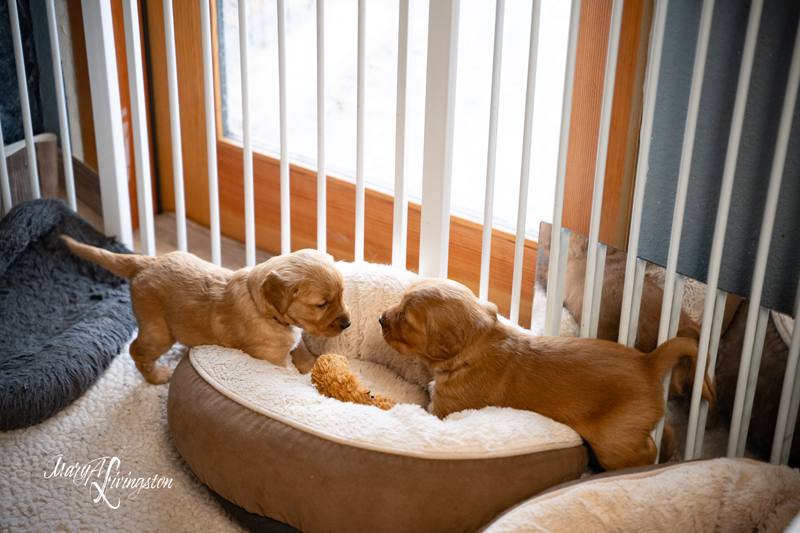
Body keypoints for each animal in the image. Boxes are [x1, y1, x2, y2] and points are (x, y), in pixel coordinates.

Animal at [61, 237, 348, 382]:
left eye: (342, 294)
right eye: (322, 304)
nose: (348, 324)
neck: (265, 310)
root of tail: (146, 262)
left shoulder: (292, 343)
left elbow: (304, 354)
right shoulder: (271, 357)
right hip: (159, 331)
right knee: (136, 350)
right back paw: (157, 376)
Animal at [378, 278, 716, 470]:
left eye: (405, 319)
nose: (381, 318)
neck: (477, 347)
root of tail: (649, 361)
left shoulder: (443, 410)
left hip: (616, 440)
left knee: (644, 452)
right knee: (666, 430)